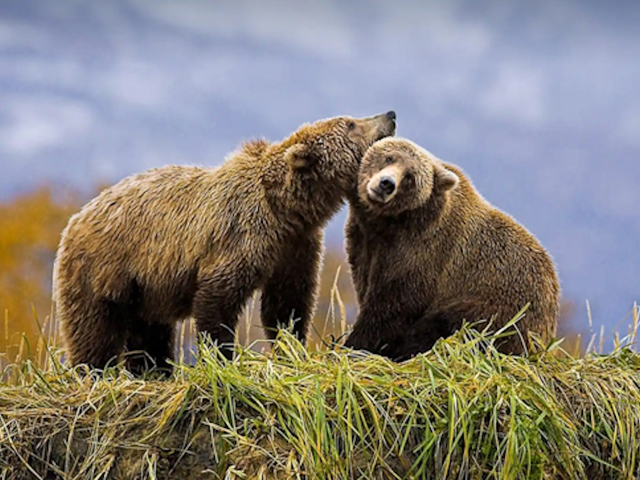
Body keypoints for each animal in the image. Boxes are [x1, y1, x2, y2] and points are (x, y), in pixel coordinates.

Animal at [53, 111, 397, 373]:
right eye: (350, 123)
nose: (389, 115)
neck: (286, 209)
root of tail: (76, 217)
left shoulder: (295, 246)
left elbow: (287, 302)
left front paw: (292, 346)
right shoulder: (240, 235)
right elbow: (218, 299)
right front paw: (223, 356)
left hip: (146, 288)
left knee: (150, 332)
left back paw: (154, 370)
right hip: (104, 270)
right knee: (94, 329)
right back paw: (94, 370)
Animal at [343, 137, 560, 361]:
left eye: (410, 177)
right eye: (389, 157)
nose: (386, 183)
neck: (391, 224)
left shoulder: (422, 253)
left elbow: (392, 306)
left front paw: (355, 345)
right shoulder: (366, 243)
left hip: (501, 306)